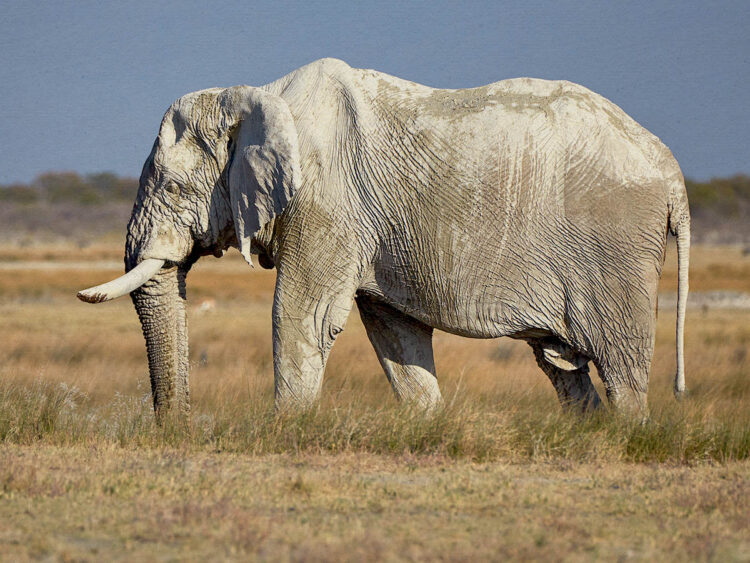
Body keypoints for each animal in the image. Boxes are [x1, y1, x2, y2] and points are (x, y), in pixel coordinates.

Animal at [78, 58, 690, 419]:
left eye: (173, 185)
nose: (179, 429)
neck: (255, 95)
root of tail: (673, 174)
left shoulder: (326, 203)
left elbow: (300, 315)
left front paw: (285, 433)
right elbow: (394, 332)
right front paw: (430, 429)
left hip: (616, 246)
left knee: (621, 365)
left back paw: (625, 437)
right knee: (562, 367)